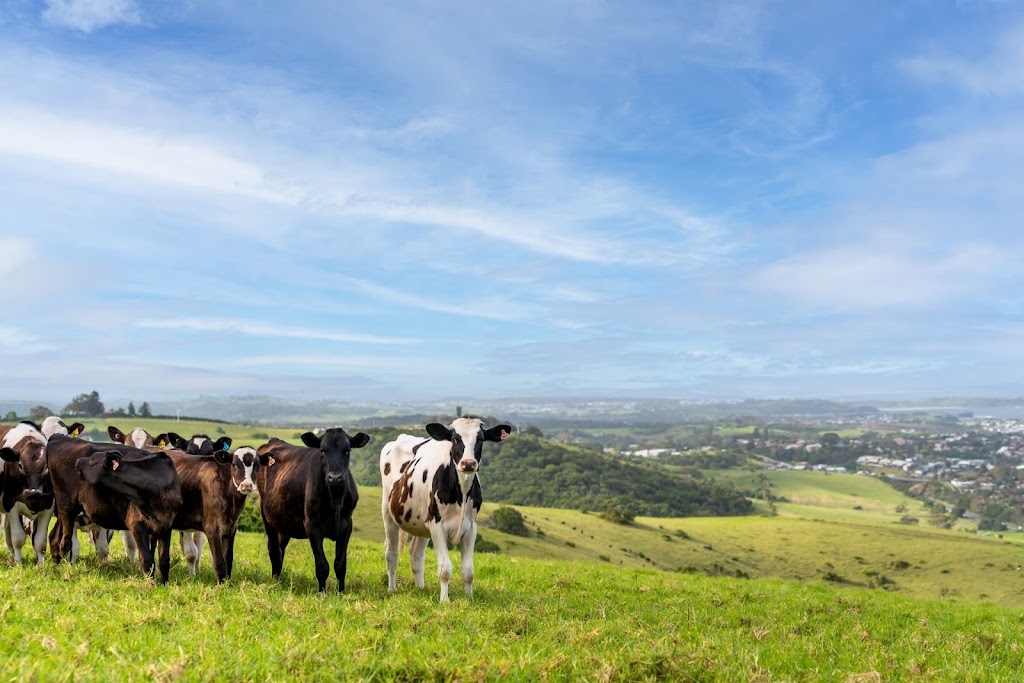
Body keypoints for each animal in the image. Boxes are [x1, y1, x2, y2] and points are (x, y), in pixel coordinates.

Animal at [163, 446, 260, 585]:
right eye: (235, 465)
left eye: (257, 465)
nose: (246, 485)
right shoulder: (212, 529)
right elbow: (219, 561)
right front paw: (221, 586)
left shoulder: (231, 528)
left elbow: (228, 559)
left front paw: (227, 584)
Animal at [258, 428, 370, 593]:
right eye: (322, 450)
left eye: (348, 450)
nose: (334, 477)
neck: (335, 499)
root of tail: (273, 441)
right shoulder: (312, 525)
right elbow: (322, 565)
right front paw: (322, 593)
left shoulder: (346, 526)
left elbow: (340, 565)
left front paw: (341, 592)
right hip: (267, 518)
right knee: (274, 551)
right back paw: (275, 582)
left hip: (284, 523)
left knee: (280, 548)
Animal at [380, 417, 512, 602]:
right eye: (455, 439)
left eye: (480, 439)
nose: (468, 463)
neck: (461, 493)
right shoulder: (437, 526)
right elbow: (445, 568)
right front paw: (444, 600)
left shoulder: (471, 527)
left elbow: (468, 570)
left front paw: (469, 598)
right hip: (388, 512)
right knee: (391, 554)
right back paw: (392, 589)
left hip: (421, 522)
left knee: (416, 555)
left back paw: (420, 588)